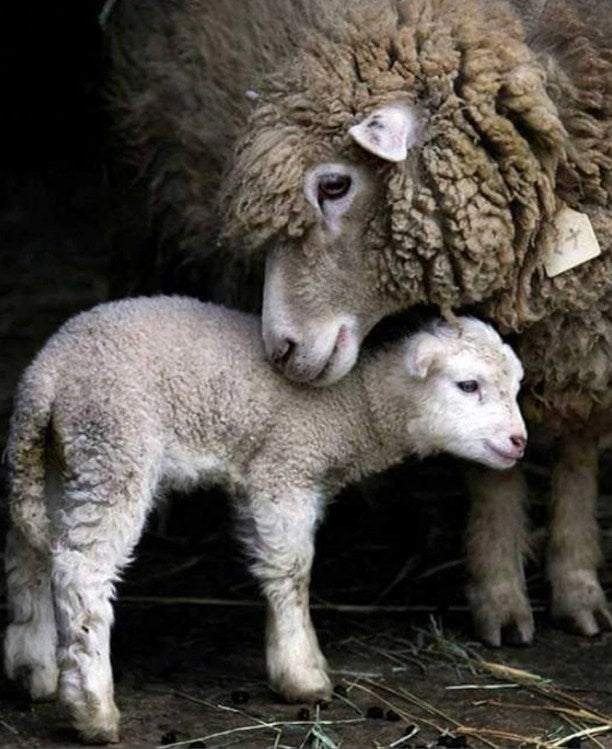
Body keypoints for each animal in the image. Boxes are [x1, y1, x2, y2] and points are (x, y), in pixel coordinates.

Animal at [4, 295, 526, 743]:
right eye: (468, 385)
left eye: (516, 387)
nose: (520, 442)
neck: (356, 406)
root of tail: (45, 376)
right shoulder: (285, 470)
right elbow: (291, 572)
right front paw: (302, 675)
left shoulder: (260, 478)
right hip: (114, 446)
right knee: (82, 572)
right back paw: (93, 710)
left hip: (61, 459)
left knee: (30, 553)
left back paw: (33, 668)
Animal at [106, 0, 612, 644]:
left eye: (334, 184)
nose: (280, 347)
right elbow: (490, 461)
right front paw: (500, 597)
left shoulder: (584, 324)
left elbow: (576, 452)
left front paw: (579, 585)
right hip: (152, 177)